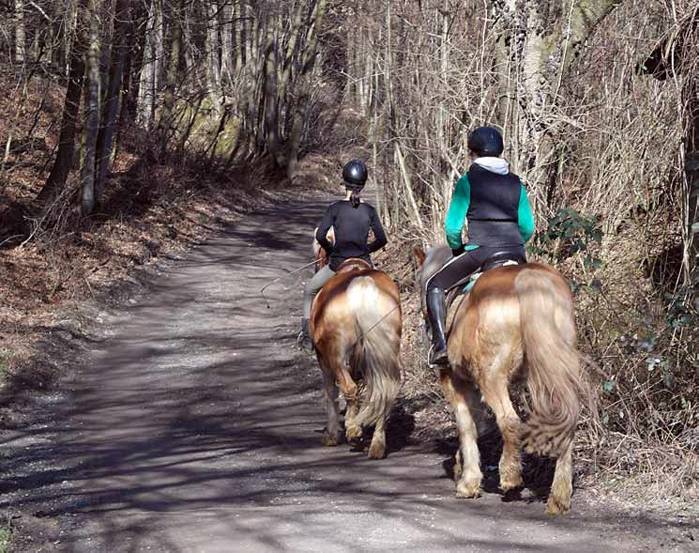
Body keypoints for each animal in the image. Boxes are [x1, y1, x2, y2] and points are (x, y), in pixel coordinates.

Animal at [310, 258, 402, 458]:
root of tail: (361, 284)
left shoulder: (324, 361)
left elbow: (330, 393)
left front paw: (332, 435)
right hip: (386, 350)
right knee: (385, 392)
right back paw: (377, 446)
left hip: (335, 356)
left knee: (349, 387)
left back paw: (353, 430)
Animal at [416, 246, 584, 512]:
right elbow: (478, 423)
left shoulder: (454, 380)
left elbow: (467, 425)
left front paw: (468, 481)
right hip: (553, 370)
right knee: (567, 419)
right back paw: (559, 496)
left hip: (491, 376)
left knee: (509, 420)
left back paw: (510, 476)